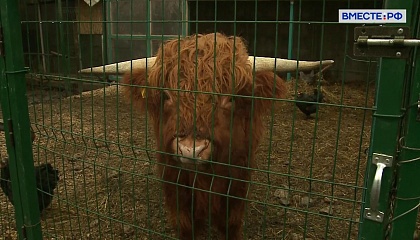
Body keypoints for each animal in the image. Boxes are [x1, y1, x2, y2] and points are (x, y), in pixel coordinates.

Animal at [120, 32, 288, 240]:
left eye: (230, 98)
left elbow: (231, 224)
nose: (190, 149)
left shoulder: (238, 179)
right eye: (166, 96)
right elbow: (185, 225)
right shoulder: (174, 180)